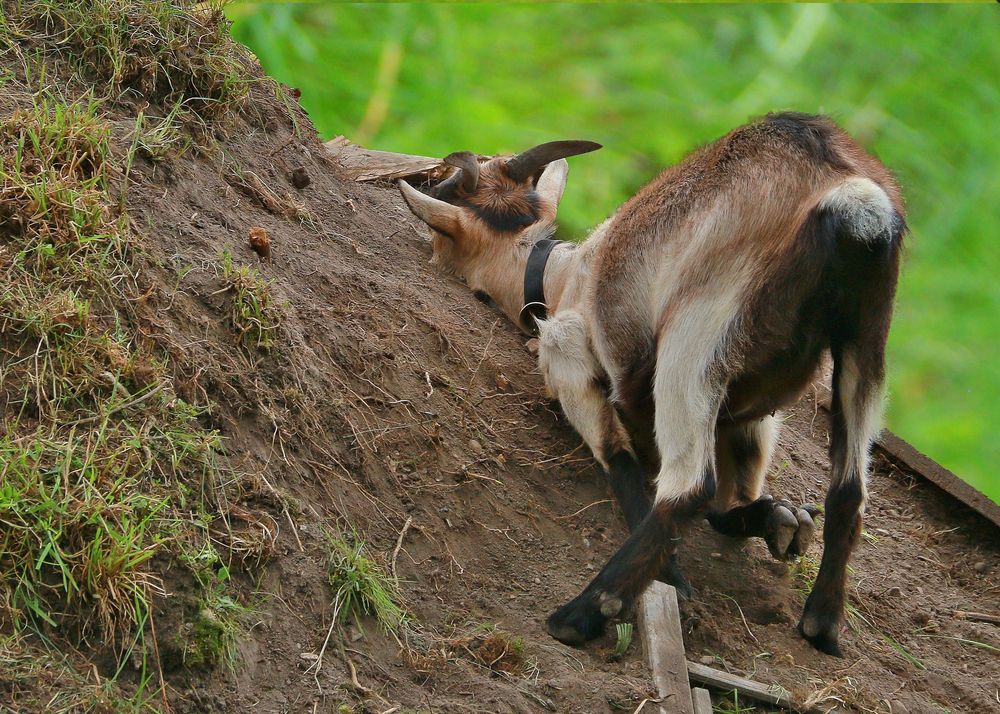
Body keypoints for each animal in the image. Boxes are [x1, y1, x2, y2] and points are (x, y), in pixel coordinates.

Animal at [396, 112, 908, 656]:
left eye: (443, 239)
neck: (565, 274)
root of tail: (847, 195)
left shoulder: (566, 348)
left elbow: (618, 456)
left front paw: (672, 577)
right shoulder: (750, 419)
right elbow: (733, 497)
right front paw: (777, 520)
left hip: (696, 333)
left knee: (690, 485)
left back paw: (583, 613)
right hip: (866, 342)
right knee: (849, 490)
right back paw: (821, 623)